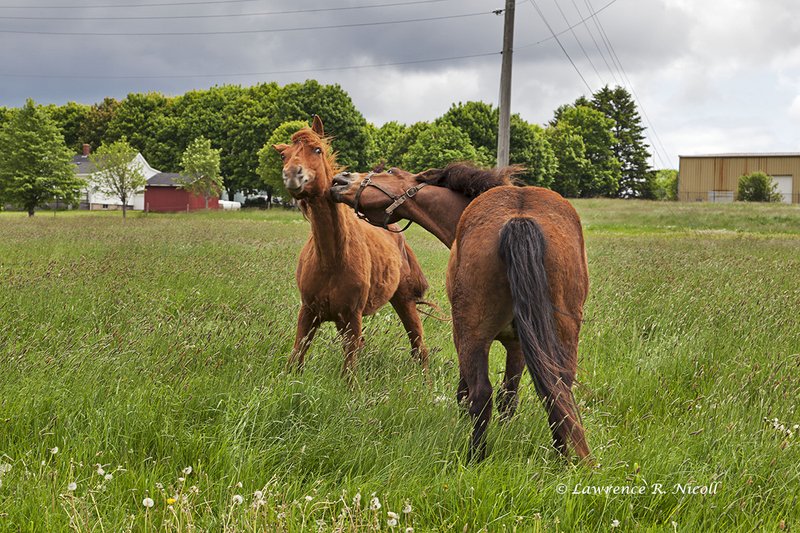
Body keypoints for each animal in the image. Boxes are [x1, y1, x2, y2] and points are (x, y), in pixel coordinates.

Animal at [272, 116, 430, 375]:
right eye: (284, 156)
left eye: (317, 149)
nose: (293, 174)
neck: (331, 259)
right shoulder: (309, 312)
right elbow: (296, 358)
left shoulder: (352, 316)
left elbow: (349, 372)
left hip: (404, 300)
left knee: (419, 346)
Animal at [330, 163, 591, 461]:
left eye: (391, 171)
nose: (340, 179)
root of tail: (519, 219)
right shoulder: (519, 346)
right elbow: (510, 396)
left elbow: (466, 394)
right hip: (562, 337)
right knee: (558, 393)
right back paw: (561, 460)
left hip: (470, 335)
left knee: (481, 395)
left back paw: (474, 458)